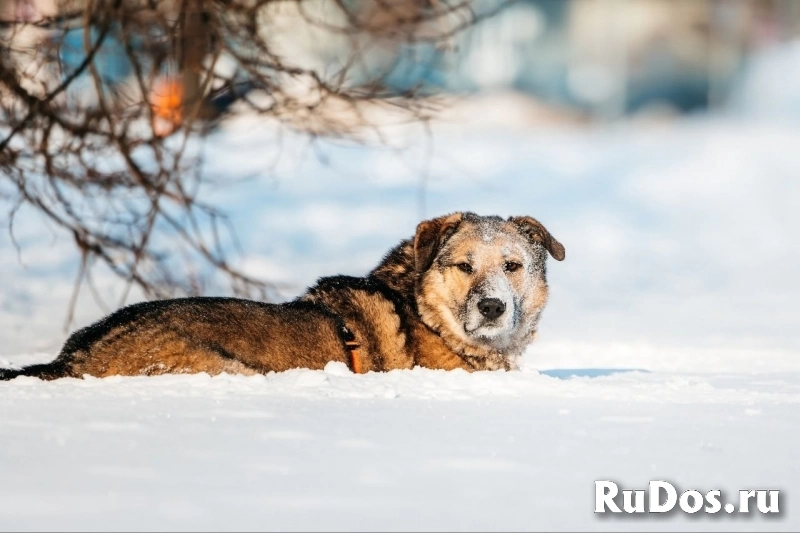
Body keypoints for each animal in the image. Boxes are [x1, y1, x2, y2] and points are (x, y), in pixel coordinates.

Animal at [0, 210, 564, 380]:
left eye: (512, 266)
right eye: (464, 266)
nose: (492, 307)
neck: (427, 316)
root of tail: (71, 357)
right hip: (225, 368)